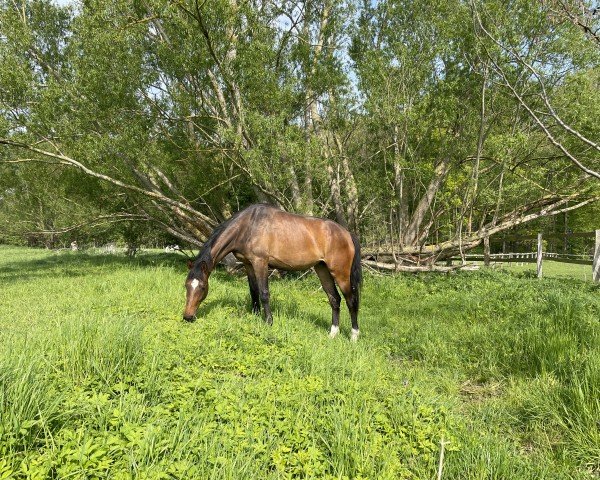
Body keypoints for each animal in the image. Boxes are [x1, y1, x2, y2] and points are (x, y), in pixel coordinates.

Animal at [183, 204, 360, 340]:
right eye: (186, 286)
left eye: (202, 287)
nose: (187, 317)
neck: (248, 225)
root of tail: (347, 233)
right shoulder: (248, 264)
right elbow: (254, 291)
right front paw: (255, 316)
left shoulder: (260, 262)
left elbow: (264, 293)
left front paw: (269, 321)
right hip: (322, 269)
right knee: (334, 299)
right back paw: (333, 334)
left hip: (340, 273)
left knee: (350, 300)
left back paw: (354, 336)